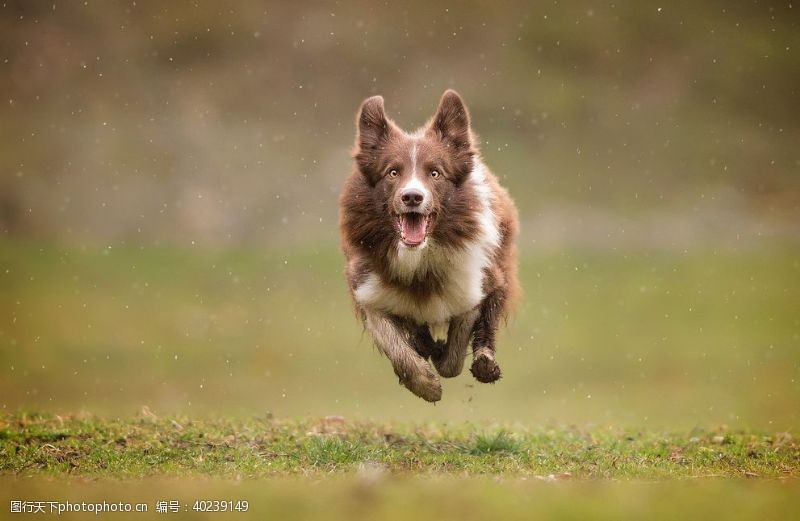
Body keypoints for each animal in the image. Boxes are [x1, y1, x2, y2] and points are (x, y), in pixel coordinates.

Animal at [338, 89, 520, 402]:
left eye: (435, 173)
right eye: (393, 172)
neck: (420, 260)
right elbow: (394, 345)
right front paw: (424, 383)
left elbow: (455, 355)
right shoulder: (368, 289)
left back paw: (483, 361)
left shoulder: (475, 283)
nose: (412, 197)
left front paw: (442, 358)